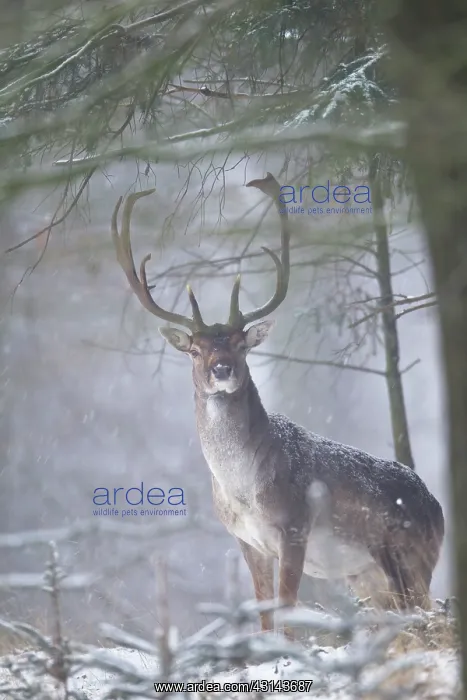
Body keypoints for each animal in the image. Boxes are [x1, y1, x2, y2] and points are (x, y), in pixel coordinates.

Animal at [111, 173, 445, 638]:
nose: (222, 369)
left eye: (240, 343)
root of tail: (438, 506)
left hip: (412, 557)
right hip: (368, 576)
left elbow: (286, 608)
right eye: (195, 350)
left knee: (426, 614)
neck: (243, 490)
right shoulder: (246, 540)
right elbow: (265, 613)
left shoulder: (295, 525)